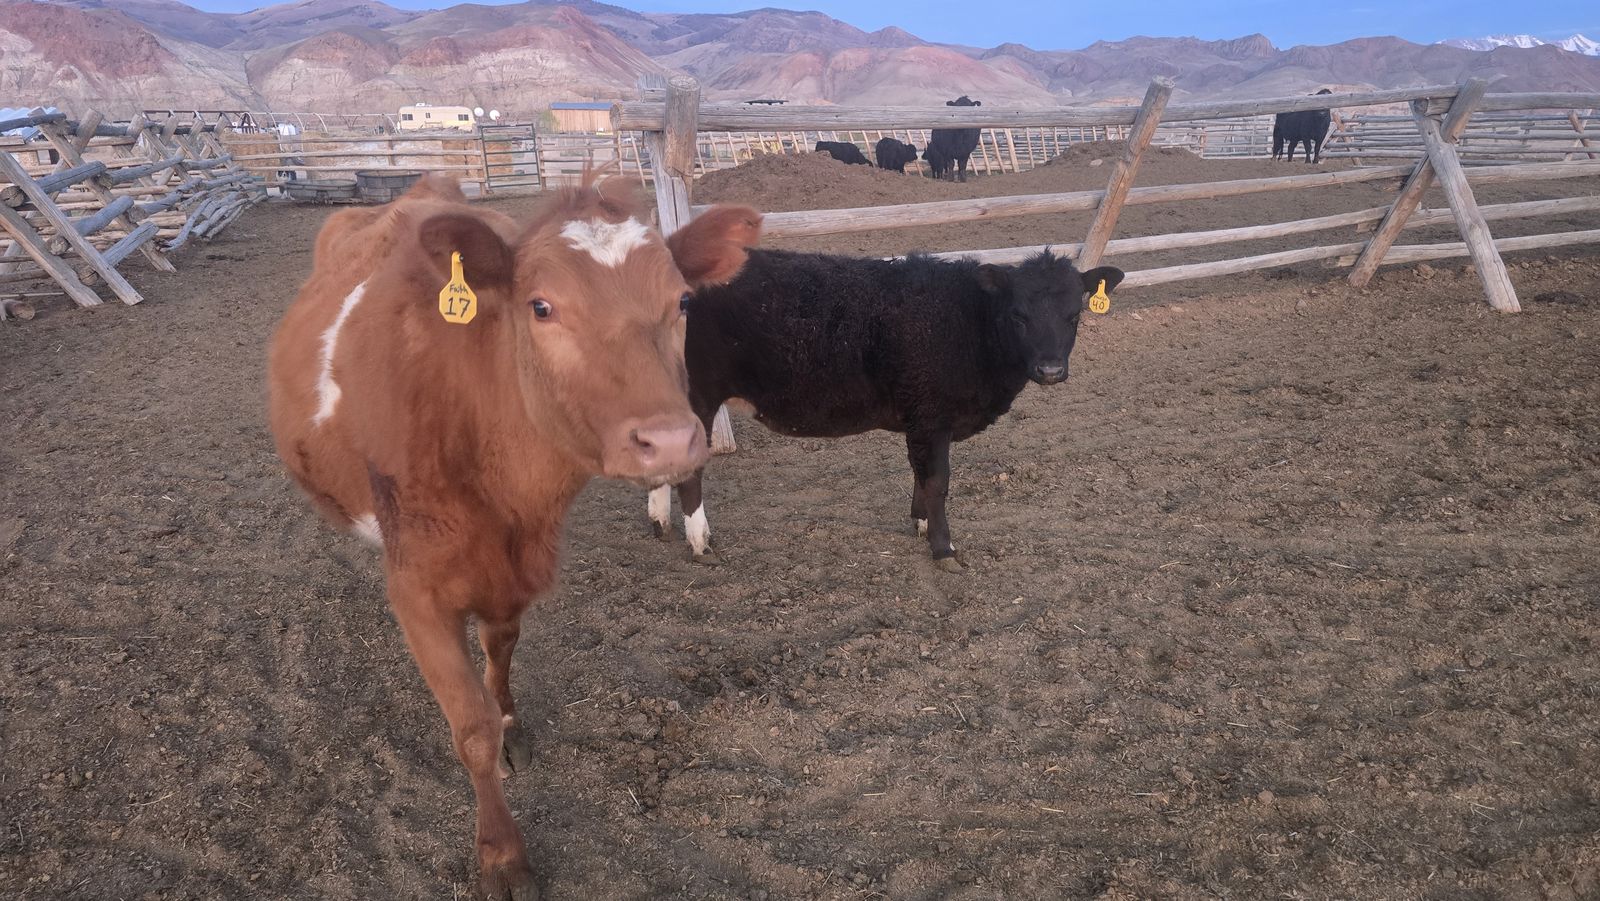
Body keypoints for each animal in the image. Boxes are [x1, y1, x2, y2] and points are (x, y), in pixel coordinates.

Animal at [267, 173, 761, 900]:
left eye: (682, 301)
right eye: (542, 306)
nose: (671, 440)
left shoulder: (517, 569)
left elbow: (499, 653)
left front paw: (508, 722)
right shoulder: (418, 589)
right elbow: (468, 727)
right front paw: (502, 853)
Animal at [649, 248, 1124, 571]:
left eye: (1074, 314)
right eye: (1019, 315)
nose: (1050, 370)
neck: (967, 321)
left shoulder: (921, 421)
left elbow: (920, 475)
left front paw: (920, 524)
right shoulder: (932, 417)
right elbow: (937, 481)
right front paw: (943, 547)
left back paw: (660, 523)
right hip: (698, 398)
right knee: (689, 472)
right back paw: (700, 541)